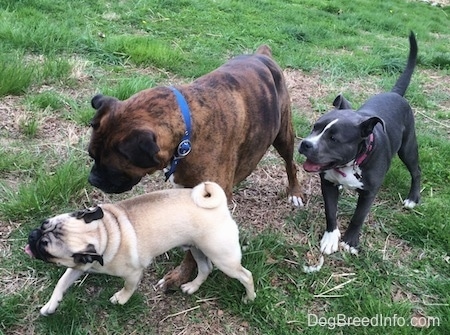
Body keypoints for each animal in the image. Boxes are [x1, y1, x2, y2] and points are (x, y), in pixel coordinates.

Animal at [86, 44, 304, 292]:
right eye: (91, 155)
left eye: (112, 168)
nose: (92, 179)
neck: (188, 132)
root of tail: (262, 54)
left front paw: (181, 276)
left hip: (283, 135)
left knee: (291, 163)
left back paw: (295, 193)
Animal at [298, 32, 422, 256]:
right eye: (315, 127)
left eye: (334, 139)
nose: (305, 144)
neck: (351, 164)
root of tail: (395, 94)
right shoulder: (327, 183)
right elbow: (330, 212)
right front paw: (330, 238)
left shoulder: (369, 193)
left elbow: (358, 217)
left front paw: (350, 241)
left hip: (408, 148)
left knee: (416, 170)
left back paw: (412, 198)